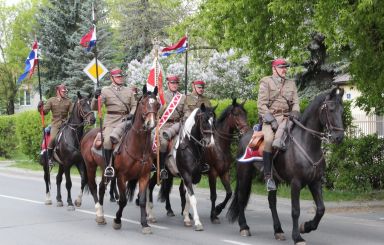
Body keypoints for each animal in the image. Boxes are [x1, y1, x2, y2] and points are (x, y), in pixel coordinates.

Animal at [80, 84, 160, 234]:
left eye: (157, 104)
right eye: (143, 103)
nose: (150, 123)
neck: (138, 146)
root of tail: (88, 134)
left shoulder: (144, 176)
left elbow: (142, 200)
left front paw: (145, 224)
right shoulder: (121, 176)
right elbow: (122, 200)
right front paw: (117, 220)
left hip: (104, 169)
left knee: (101, 187)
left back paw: (102, 214)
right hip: (90, 166)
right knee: (93, 187)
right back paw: (99, 214)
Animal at [226, 87, 346, 244]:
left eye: (342, 110)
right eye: (331, 109)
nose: (339, 137)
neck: (307, 144)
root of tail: (245, 136)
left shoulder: (315, 182)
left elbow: (321, 209)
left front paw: (305, 227)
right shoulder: (296, 183)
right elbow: (295, 211)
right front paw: (297, 237)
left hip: (273, 180)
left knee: (271, 202)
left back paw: (278, 230)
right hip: (244, 174)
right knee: (241, 198)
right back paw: (244, 227)